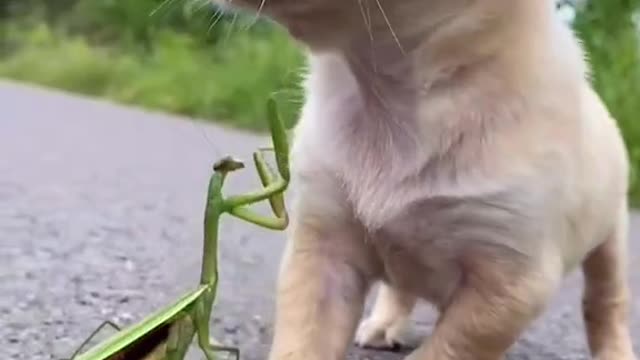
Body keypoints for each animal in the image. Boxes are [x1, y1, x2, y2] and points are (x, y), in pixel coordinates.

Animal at [214, 0, 636, 360]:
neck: (387, 92)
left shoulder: (511, 284)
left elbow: (446, 348)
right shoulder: (322, 250)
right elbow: (302, 343)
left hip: (610, 242)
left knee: (605, 303)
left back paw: (615, 350)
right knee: (399, 286)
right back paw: (385, 324)